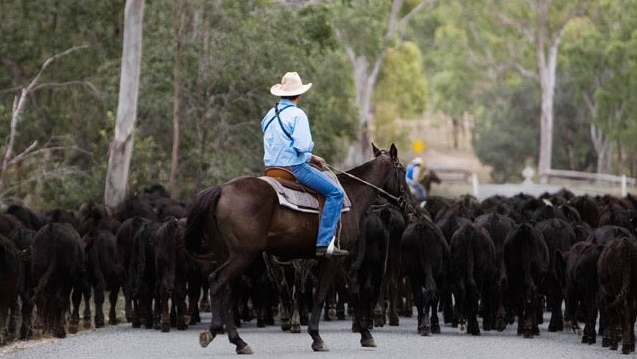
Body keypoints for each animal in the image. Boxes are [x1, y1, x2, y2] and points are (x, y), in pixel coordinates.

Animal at [184, 143, 412, 354]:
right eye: (402, 170)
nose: (409, 205)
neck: (352, 198)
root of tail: (221, 190)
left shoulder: (333, 261)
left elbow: (343, 291)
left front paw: (362, 334)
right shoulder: (337, 259)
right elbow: (330, 294)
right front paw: (322, 337)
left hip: (227, 255)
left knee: (227, 290)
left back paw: (238, 341)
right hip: (243, 255)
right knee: (217, 281)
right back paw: (215, 332)